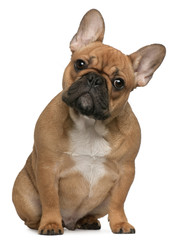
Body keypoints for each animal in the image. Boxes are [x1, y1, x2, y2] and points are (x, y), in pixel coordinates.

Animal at [12, 9, 166, 234]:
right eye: (80, 64)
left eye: (119, 83)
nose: (95, 79)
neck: (90, 123)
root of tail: (70, 221)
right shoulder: (48, 167)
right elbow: (50, 199)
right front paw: (50, 223)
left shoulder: (126, 171)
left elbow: (119, 202)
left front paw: (121, 223)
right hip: (24, 193)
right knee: (31, 215)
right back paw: (44, 222)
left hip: (101, 202)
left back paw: (87, 221)